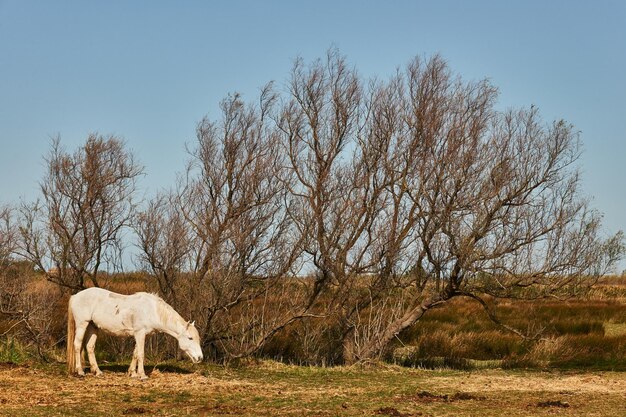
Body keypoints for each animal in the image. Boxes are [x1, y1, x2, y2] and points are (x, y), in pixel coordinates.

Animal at [66, 288, 202, 378]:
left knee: (90, 347)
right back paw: (80, 371)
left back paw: (97, 372)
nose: (200, 358)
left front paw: (132, 373)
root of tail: (76, 296)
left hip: (93, 327)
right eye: (190, 338)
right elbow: (141, 354)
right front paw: (142, 375)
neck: (151, 310)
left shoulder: (140, 335)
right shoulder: (140, 334)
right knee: (77, 345)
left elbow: (135, 353)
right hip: (82, 324)